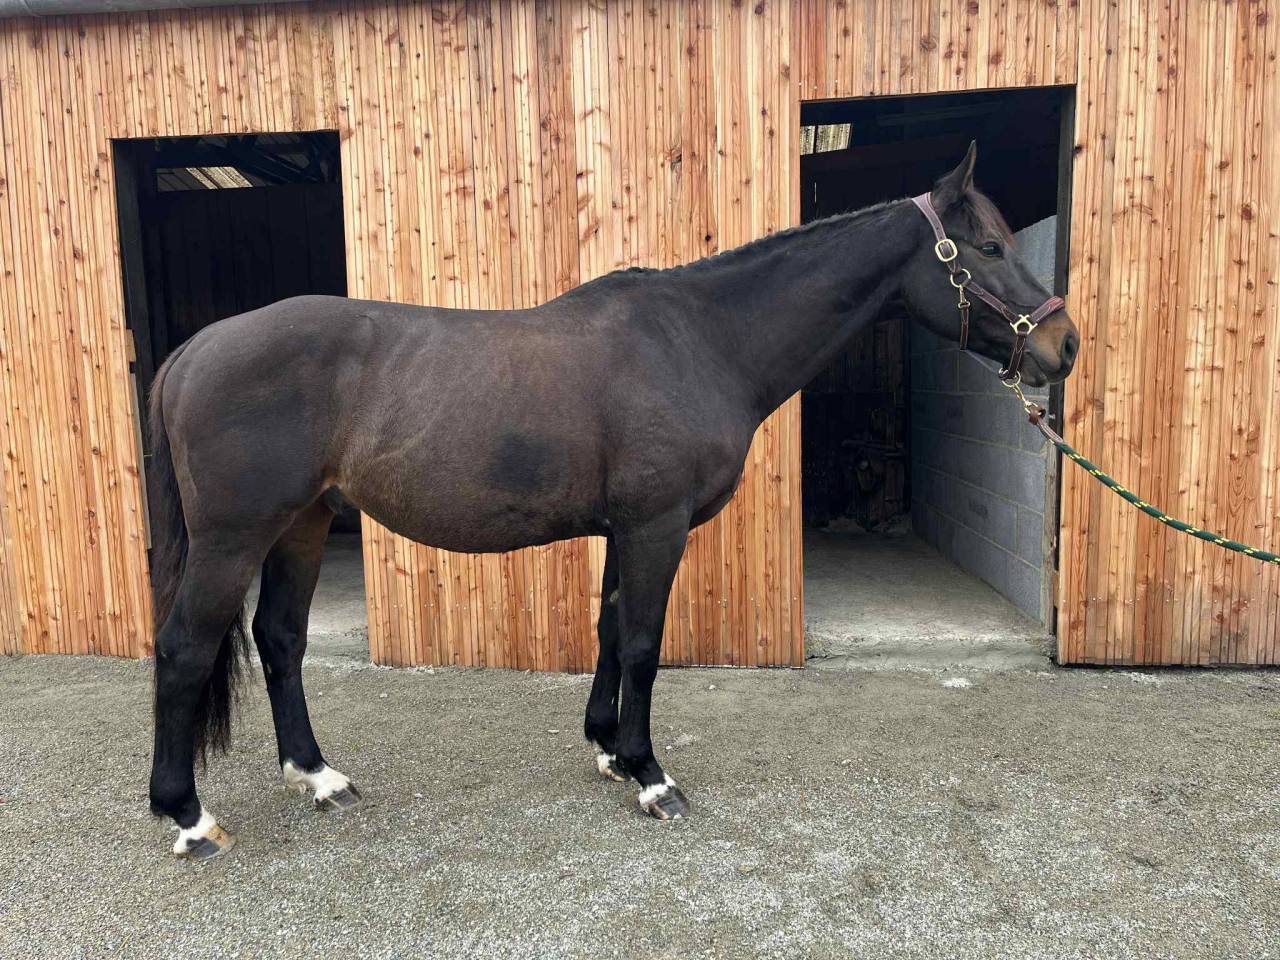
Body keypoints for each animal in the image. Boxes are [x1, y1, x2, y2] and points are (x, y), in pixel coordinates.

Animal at [146, 142, 1078, 859]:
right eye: (987, 247)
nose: (1064, 347)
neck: (701, 339)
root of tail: (192, 352)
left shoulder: (622, 529)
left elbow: (605, 630)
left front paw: (606, 750)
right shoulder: (656, 525)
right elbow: (641, 644)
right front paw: (651, 776)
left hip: (301, 525)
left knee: (281, 640)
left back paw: (319, 777)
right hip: (235, 537)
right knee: (186, 649)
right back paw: (188, 816)